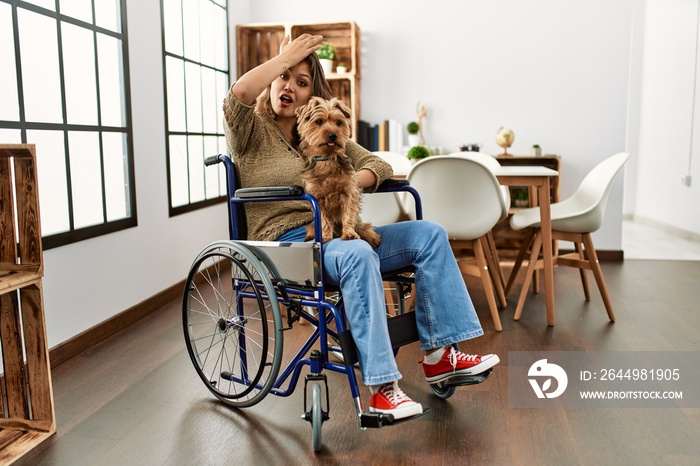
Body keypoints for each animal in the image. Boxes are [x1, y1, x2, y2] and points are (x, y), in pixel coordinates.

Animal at [296, 97, 382, 249]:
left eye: (338, 122)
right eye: (319, 121)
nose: (333, 135)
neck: (327, 159)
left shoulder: (349, 192)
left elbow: (348, 214)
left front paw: (349, 233)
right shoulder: (317, 198)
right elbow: (324, 220)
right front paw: (324, 237)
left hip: (360, 223)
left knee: (364, 227)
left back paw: (373, 238)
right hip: (312, 224)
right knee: (311, 227)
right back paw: (311, 236)